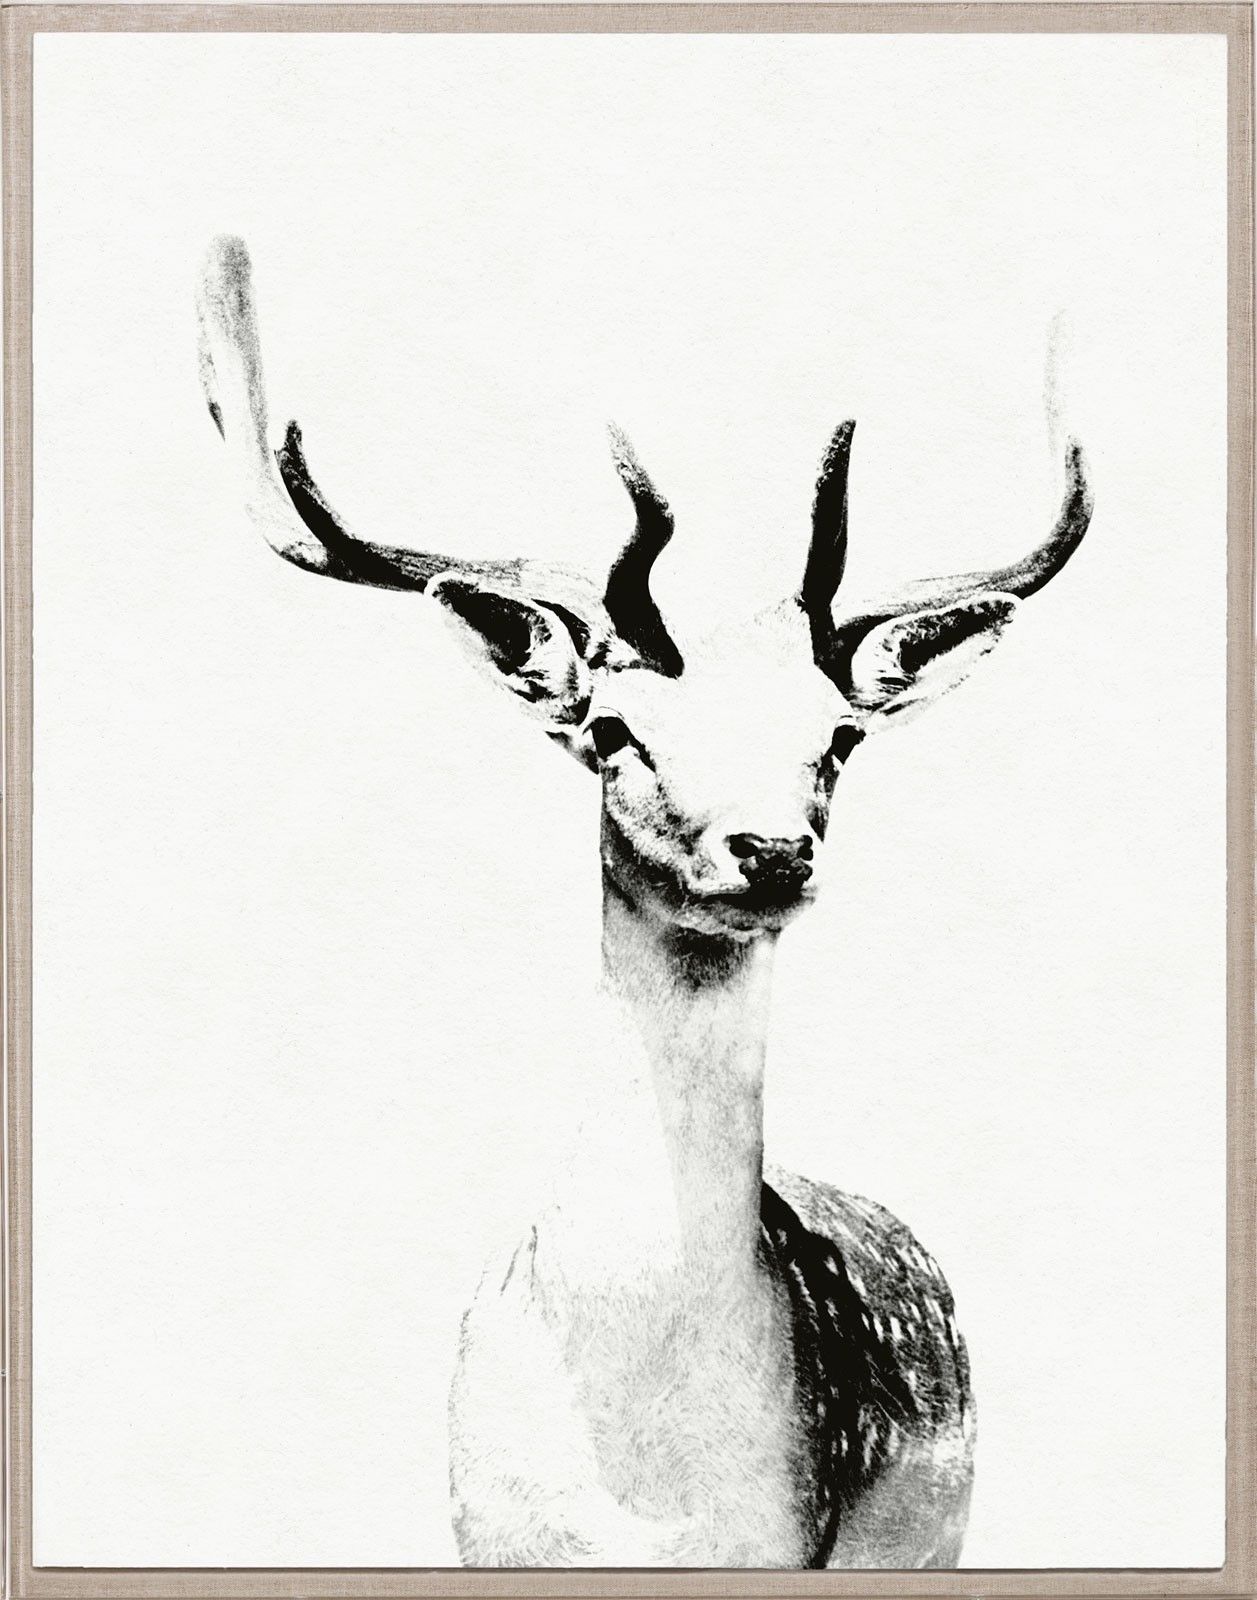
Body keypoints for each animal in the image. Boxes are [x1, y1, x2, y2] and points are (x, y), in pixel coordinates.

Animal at [196, 235, 1093, 1570]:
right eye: (615, 731)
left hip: (937, 1533)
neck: (647, 1478)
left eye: (836, 741)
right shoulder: (484, 1533)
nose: (771, 850)